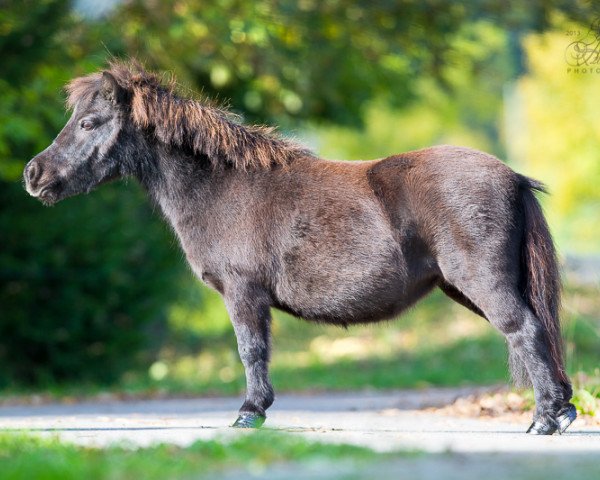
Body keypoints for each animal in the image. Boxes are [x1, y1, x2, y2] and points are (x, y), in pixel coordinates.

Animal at [24, 62, 576, 434]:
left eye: (89, 123)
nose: (34, 174)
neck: (221, 186)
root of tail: (512, 177)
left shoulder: (243, 293)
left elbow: (251, 351)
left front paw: (250, 413)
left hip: (482, 284)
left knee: (525, 330)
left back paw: (548, 420)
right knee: (532, 335)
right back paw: (559, 410)